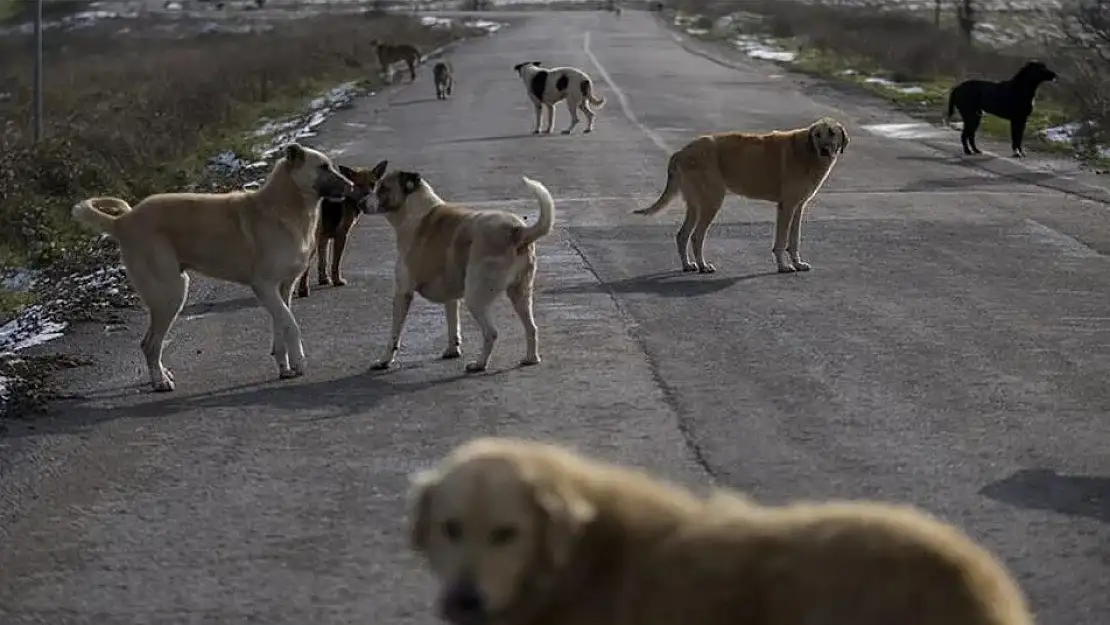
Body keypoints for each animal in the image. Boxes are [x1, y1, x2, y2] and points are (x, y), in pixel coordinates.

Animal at [71, 144, 355, 392]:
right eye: (323, 167)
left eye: (331, 165)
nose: (351, 186)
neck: (285, 205)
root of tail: (122, 222)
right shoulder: (264, 286)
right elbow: (291, 325)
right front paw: (299, 361)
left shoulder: (282, 289)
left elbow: (281, 326)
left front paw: (285, 366)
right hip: (170, 294)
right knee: (149, 344)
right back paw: (160, 382)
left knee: (151, 344)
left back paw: (162, 375)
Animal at [359, 167, 555, 370]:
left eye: (382, 188)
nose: (359, 204)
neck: (415, 210)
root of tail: (516, 230)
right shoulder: (450, 295)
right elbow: (452, 323)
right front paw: (453, 350)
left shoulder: (402, 292)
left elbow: (394, 335)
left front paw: (384, 360)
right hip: (520, 293)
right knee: (531, 328)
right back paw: (531, 358)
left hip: (475, 297)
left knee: (491, 332)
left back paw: (479, 364)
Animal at [634, 117, 848, 274]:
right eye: (817, 135)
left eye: (832, 133)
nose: (824, 150)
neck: (807, 151)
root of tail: (681, 151)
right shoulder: (787, 207)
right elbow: (781, 241)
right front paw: (783, 266)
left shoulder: (797, 207)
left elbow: (794, 240)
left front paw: (797, 263)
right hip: (712, 202)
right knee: (696, 236)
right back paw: (703, 266)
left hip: (696, 205)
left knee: (682, 235)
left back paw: (688, 265)